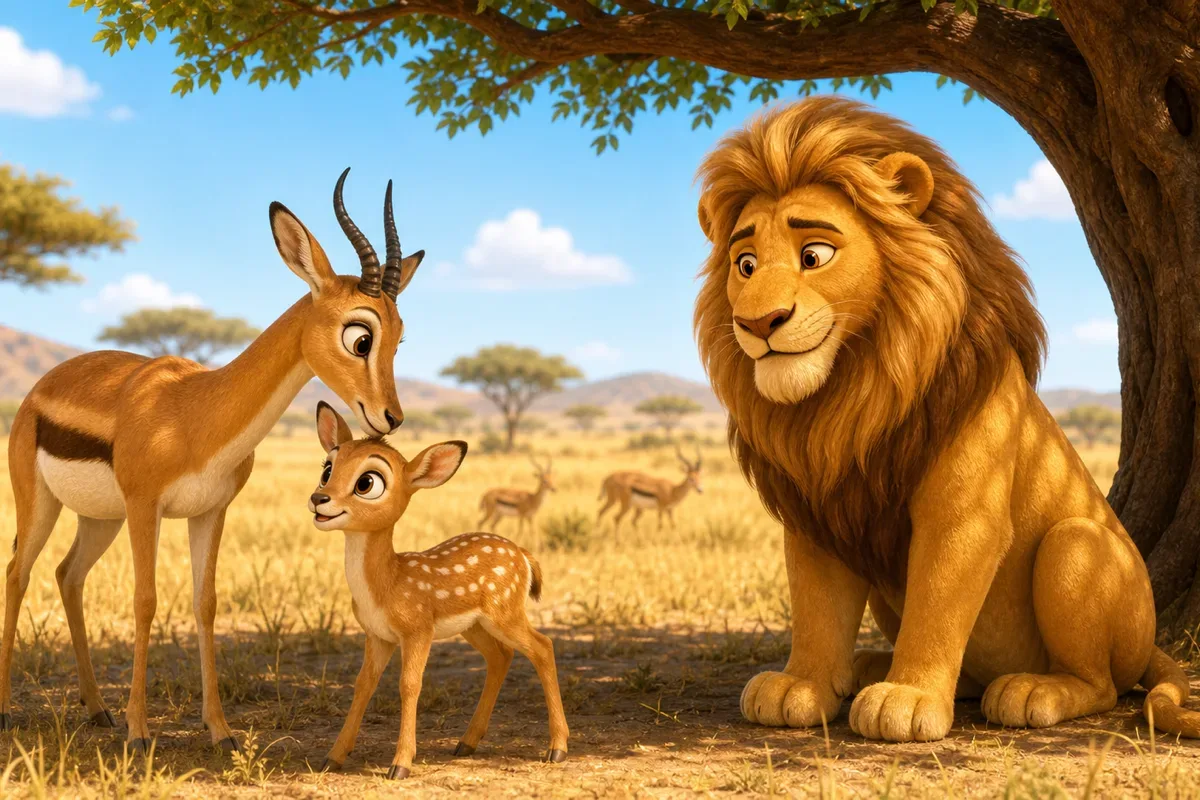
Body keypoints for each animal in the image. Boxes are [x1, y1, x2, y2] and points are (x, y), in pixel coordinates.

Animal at [1, 169, 425, 754]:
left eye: (401, 335)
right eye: (361, 336)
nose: (391, 416)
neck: (195, 413)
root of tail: (41, 387)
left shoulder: (209, 512)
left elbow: (206, 603)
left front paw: (221, 731)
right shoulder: (146, 507)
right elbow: (146, 599)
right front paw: (140, 731)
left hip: (100, 518)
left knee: (68, 575)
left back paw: (97, 709)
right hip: (43, 504)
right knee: (18, 573)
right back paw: (13, 712)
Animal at [309, 402, 569, 778]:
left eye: (367, 483)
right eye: (327, 469)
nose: (319, 498)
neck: (387, 585)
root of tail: (523, 554)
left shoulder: (418, 629)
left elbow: (409, 684)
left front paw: (400, 764)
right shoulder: (378, 635)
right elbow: (363, 684)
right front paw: (333, 757)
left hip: (504, 610)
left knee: (543, 646)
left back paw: (557, 749)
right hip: (474, 625)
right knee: (501, 656)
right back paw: (466, 743)